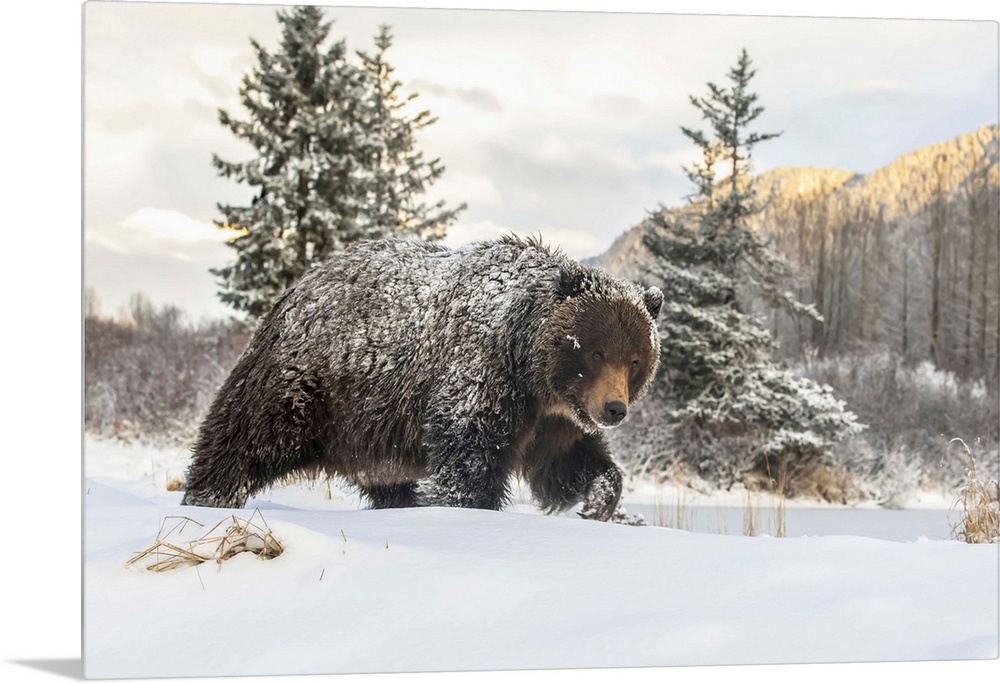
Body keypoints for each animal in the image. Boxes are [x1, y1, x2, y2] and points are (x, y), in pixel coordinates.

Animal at [183, 236, 660, 524]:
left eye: (636, 359)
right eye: (595, 351)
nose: (614, 409)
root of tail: (296, 287)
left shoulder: (552, 418)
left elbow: (567, 463)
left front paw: (597, 502)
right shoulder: (483, 376)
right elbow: (468, 457)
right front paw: (465, 507)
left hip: (371, 436)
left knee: (387, 482)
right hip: (307, 387)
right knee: (243, 439)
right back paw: (207, 497)